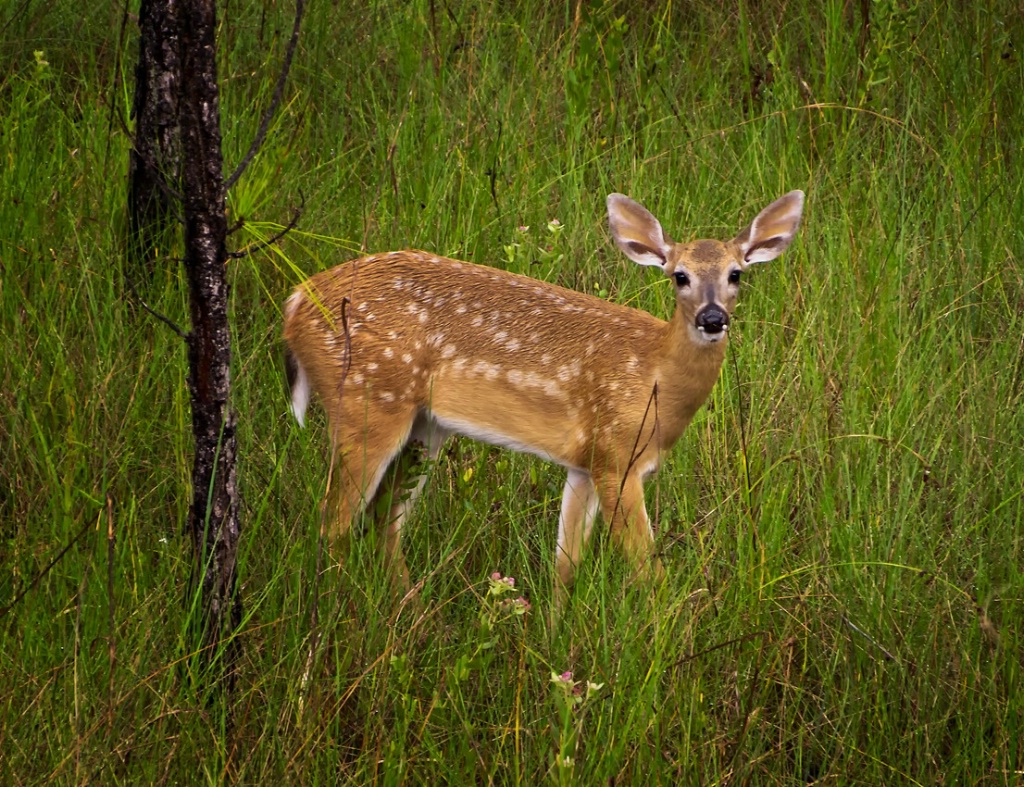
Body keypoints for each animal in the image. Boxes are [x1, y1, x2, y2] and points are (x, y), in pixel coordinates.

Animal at [284, 188, 802, 605]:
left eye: (736, 274)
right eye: (679, 276)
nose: (713, 319)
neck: (655, 378)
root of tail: (294, 304)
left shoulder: (584, 463)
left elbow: (564, 568)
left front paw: (553, 639)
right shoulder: (617, 457)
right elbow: (647, 572)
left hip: (424, 426)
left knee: (382, 521)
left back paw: (407, 612)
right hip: (366, 399)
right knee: (334, 521)